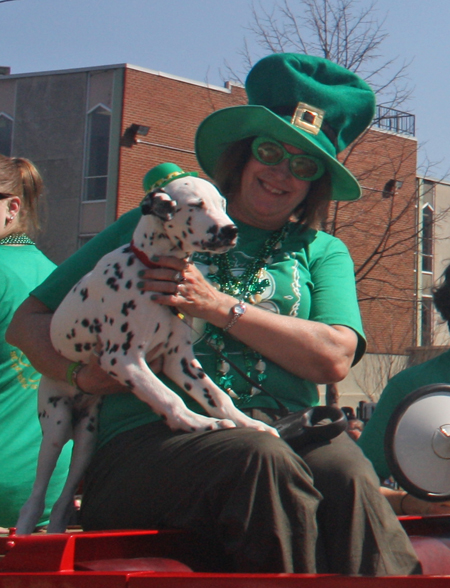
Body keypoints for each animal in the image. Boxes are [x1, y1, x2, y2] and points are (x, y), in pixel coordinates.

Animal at [15, 165, 276, 536]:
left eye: (222, 204)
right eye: (195, 205)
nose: (230, 230)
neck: (152, 269)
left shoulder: (180, 360)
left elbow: (216, 396)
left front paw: (247, 423)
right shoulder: (124, 360)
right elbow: (170, 398)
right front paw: (199, 423)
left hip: (86, 439)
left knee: (64, 499)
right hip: (56, 426)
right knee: (35, 496)